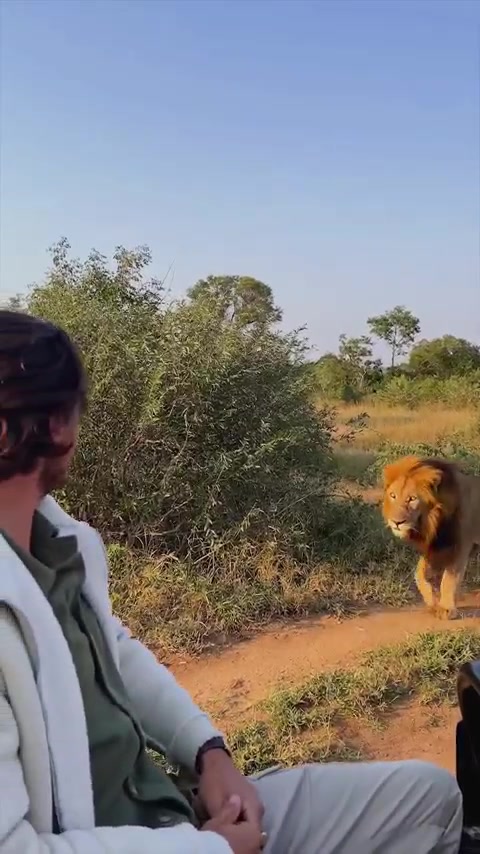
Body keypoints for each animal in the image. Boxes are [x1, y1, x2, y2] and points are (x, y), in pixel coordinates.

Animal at [382, 455, 480, 619]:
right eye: (393, 495)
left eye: (412, 498)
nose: (396, 522)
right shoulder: (433, 546)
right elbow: (419, 574)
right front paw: (432, 601)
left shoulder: (460, 545)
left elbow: (449, 578)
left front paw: (446, 608)